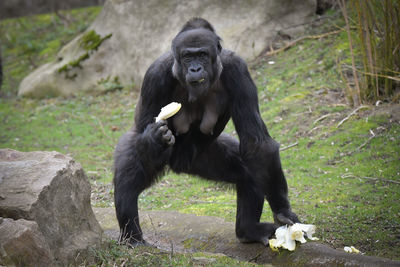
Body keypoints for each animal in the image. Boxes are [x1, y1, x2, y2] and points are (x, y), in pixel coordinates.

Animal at [114, 17, 298, 248]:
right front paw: (153, 137)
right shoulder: (155, 74)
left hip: (199, 158)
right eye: (187, 56)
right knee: (128, 175)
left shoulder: (237, 69)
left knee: (248, 170)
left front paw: (282, 210)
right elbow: (143, 129)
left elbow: (257, 144)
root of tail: (177, 165)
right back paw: (133, 237)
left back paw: (248, 230)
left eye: (202, 54)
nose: (195, 68)